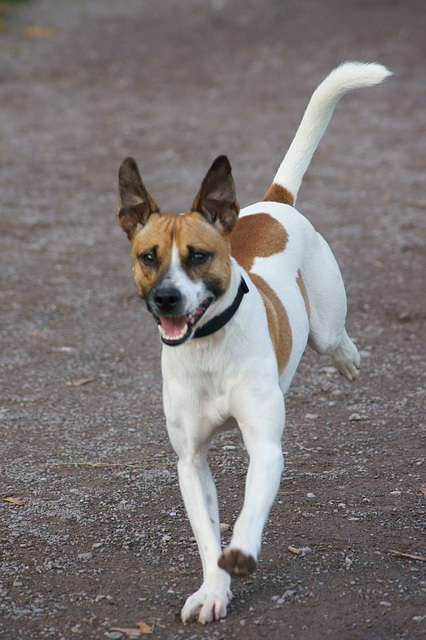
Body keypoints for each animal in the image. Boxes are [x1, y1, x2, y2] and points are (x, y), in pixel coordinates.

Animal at [115, 62, 390, 624]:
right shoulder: (190, 460)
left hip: (325, 323)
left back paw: (349, 360)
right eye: (148, 256)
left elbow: (248, 512)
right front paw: (213, 590)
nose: (167, 299)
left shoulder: (265, 445)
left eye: (198, 256)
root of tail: (270, 203)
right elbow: (205, 531)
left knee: (336, 339)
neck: (208, 347)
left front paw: (239, 554)